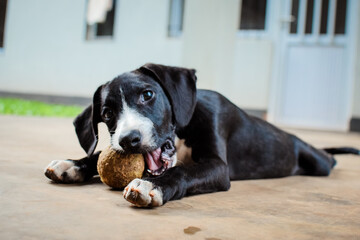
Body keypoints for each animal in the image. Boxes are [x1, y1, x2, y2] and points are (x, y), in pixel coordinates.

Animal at [45, 63, 360, 206]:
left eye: (148, 95)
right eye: (108, 113)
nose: (128, 140)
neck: (183, 130)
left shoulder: (219, 167)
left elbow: (184, 171)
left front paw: (153, 186)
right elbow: (98, 152)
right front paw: (72, 164)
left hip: (316, 161)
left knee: (327, 159)